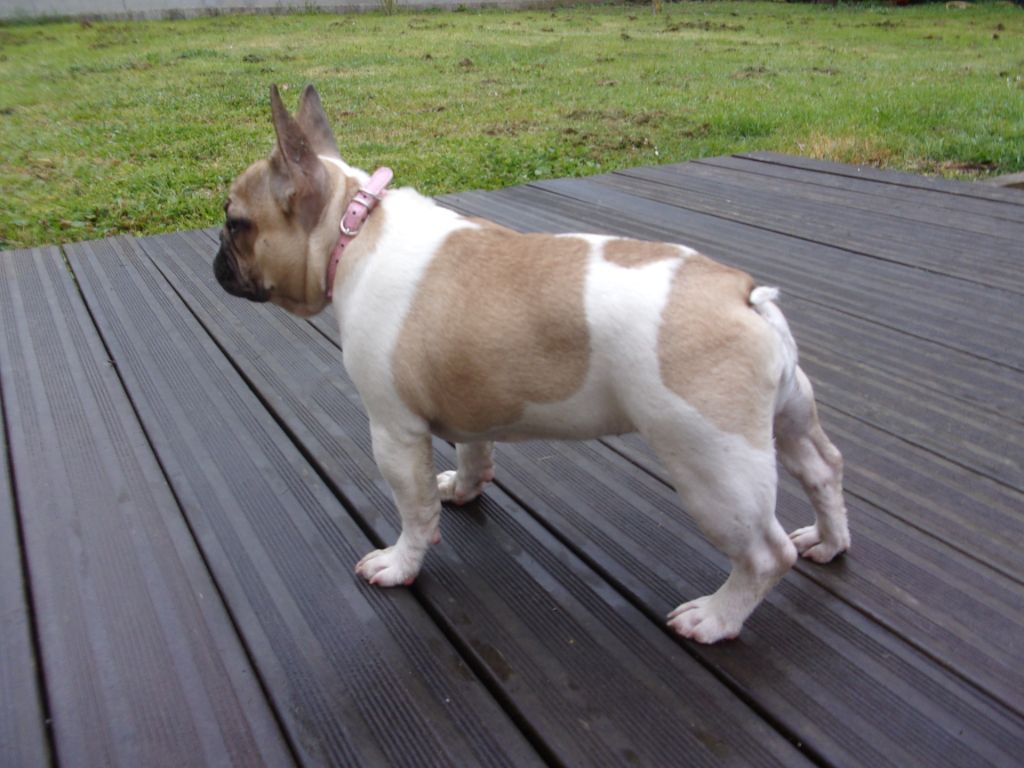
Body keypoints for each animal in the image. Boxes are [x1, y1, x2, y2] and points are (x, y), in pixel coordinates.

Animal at [214, 85, 850, 644]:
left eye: (234, 222)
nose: (215, 259)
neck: (353, 230)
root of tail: (743, 296)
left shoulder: (394, 432)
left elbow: (415, 510)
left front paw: (400, 563)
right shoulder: (473, 405)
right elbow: (473, 455)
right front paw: (464, 487)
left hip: (715, 466)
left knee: (766, 554)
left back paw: (717, 617)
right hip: (788, 415)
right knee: (823, 469)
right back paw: (828, 540)